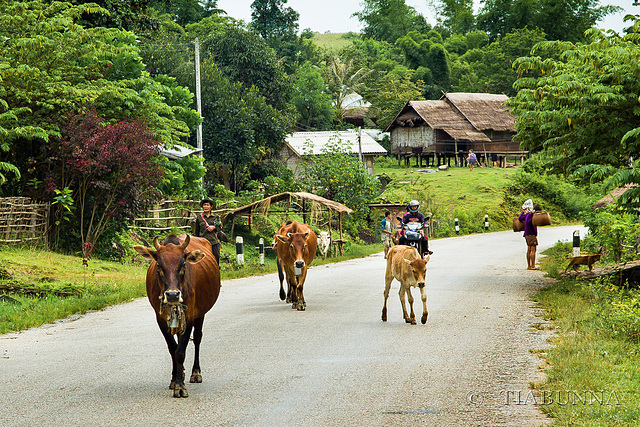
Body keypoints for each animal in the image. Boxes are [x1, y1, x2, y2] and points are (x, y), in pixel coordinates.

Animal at [132, 234, 220, 398]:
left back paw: (195, 373)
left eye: (183, 265)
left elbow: (180, 352)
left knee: (197, 338)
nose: (172, 295)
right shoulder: (160, 318)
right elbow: (173, 348)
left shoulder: (190, 315)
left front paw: (180, 386)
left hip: (201, 314)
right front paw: (175, 379)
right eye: (159, 266)